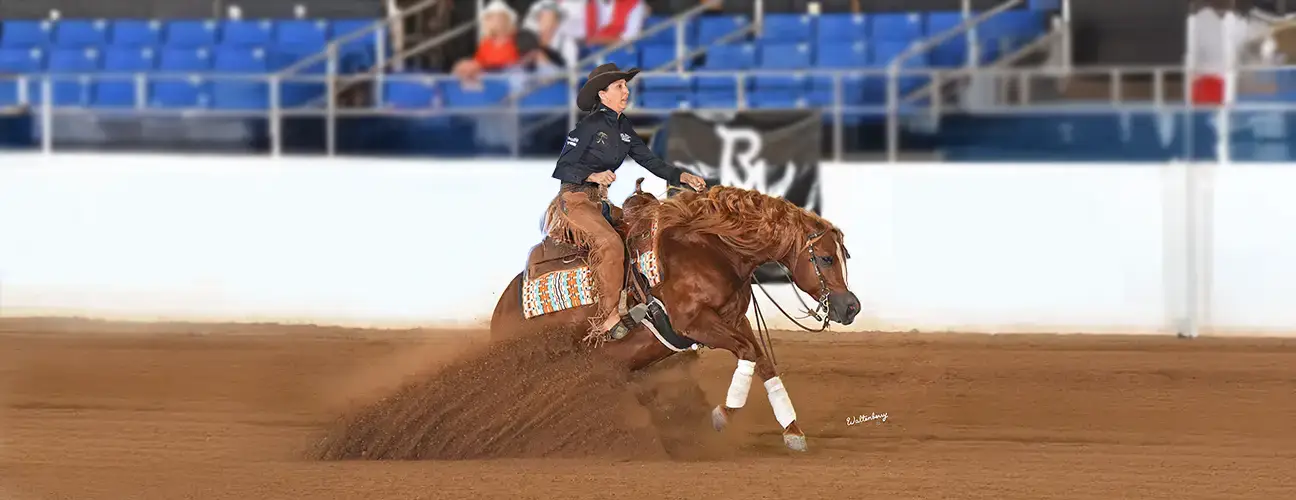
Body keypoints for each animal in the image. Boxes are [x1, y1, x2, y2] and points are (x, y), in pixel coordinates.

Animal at [490, 180, 860, 452]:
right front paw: (722, 415)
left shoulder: (734, 320)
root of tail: (500, 315)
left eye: (844, 255)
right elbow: (747, 353)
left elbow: (763, 361)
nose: (851, 307)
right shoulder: (695, 324)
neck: (710, 251)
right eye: (825, 258)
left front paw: (793, 432)